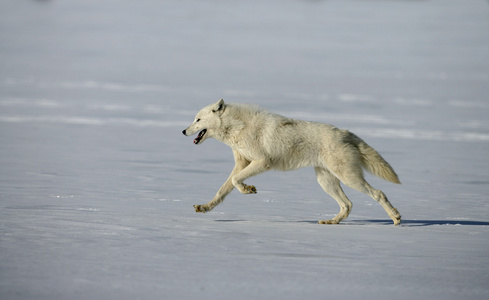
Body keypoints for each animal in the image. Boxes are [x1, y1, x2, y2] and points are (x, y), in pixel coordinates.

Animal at [183, 98, 400, 225]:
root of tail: (345, 133)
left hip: (349, 178)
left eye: (197, 120)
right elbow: (222, 190)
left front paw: (248, 189)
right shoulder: (241, 164)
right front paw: (205, 207)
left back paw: (396, 218)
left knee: (378, 193)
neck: (238, 127)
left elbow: (236, 181)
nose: (183, 131)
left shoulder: (262, 162)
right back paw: (331, 222)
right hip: (326, 181)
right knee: (347, 205)